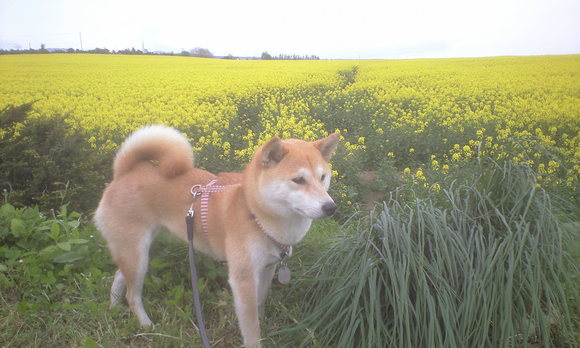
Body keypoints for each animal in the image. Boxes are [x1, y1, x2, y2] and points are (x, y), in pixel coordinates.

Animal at [94, 125, 340, 348]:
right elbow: (250, 327)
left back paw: (114, 307)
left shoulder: (267, 268)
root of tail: (125, 171)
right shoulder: (243, 278)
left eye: (323, 177)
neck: (254, 212)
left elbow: (259, 302)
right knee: (132, 294)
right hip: (137, 255)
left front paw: (263, 321)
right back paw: (146, 325)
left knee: (119, 277)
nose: (330, 207)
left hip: (136, 252)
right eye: (298, 180)